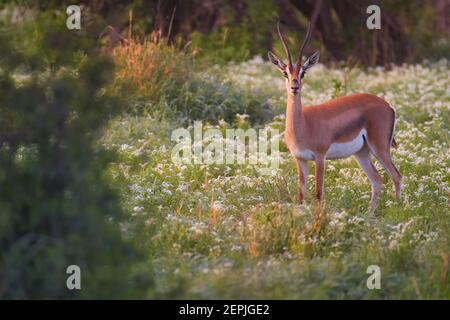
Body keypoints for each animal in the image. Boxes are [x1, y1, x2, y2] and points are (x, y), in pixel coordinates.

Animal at [268, 23, 402, 212]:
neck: (302, 124)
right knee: (377, 180)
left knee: (396, 176)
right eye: (285, 72)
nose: (295, 87)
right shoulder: (300, 159)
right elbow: (301, 194)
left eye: (303, 72)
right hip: (362, 152)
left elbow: (318, 193)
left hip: (380, 148)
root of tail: (387, 105)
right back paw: (369, 214)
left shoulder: (320, 157)